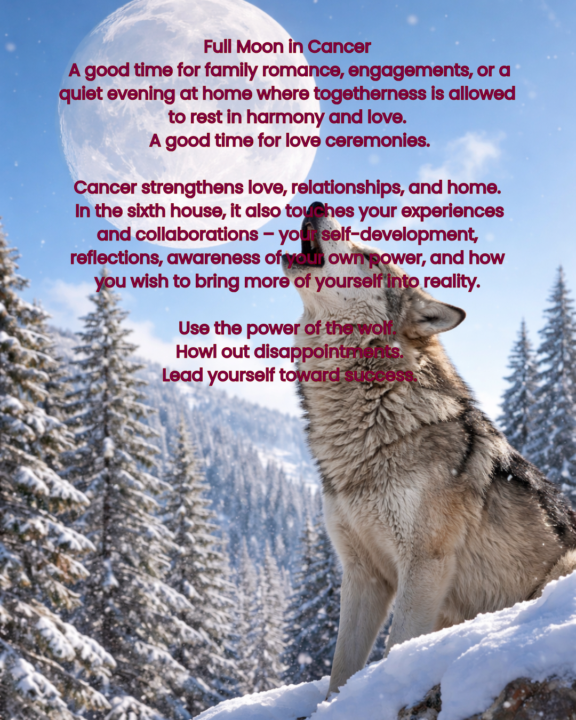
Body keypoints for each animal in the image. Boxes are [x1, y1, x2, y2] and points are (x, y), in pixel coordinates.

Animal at [282, 202, 576, 696]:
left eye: (370, 258)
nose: (317, 205)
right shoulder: (363, 575)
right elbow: (340, 670)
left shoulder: (424, 565)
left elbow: (394, 647)